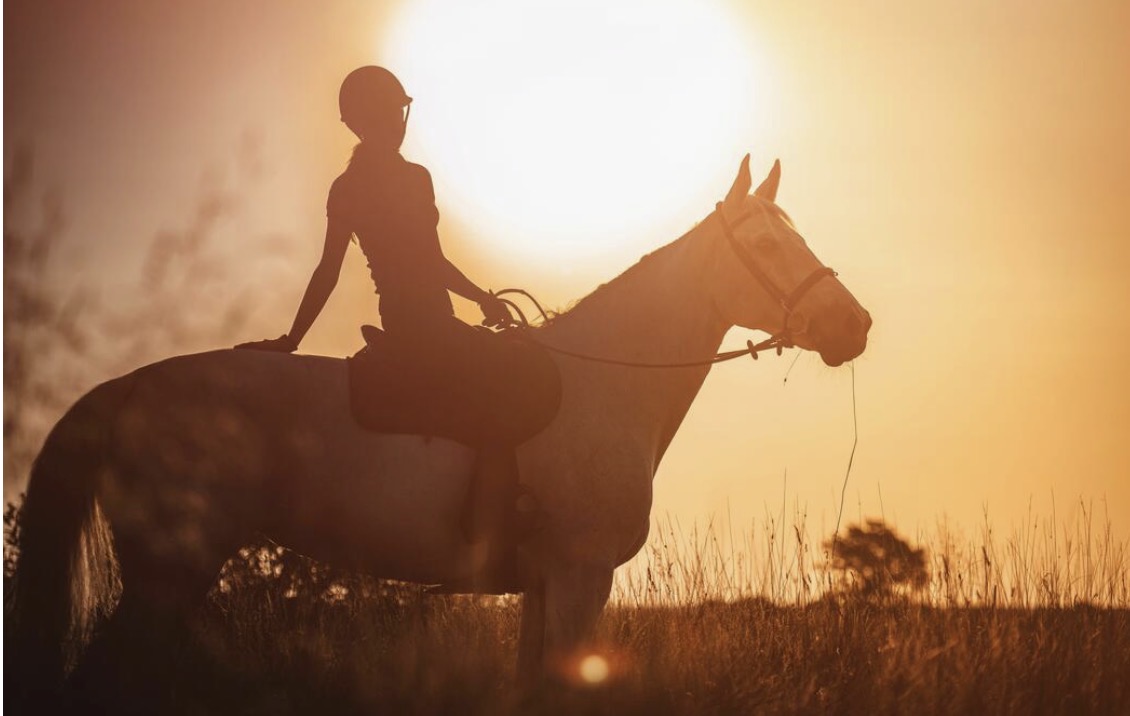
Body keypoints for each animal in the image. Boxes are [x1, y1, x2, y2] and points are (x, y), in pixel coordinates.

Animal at [9, 157, 870, 709]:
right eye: (765, 244)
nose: (853, 326)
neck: (606, 382)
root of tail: (128, 388)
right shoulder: (581, 577)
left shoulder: (543, 587)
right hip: (168, 573)